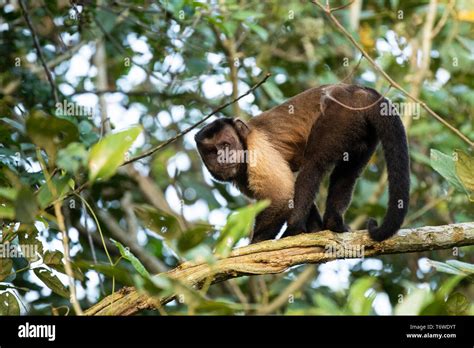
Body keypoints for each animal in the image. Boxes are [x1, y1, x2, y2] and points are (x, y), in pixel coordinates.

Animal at [194, 83, 410, 243]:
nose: (223, 157)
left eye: (226, 145)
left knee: (313, 164)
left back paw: (294, 228)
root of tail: (361, 91)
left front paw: (257, 244)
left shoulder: (258, 148)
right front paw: (313, 228)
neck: (244, 141)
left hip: (340, 112)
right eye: (212, 152)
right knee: (347, 173)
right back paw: (333, 223)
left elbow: (281, 195)